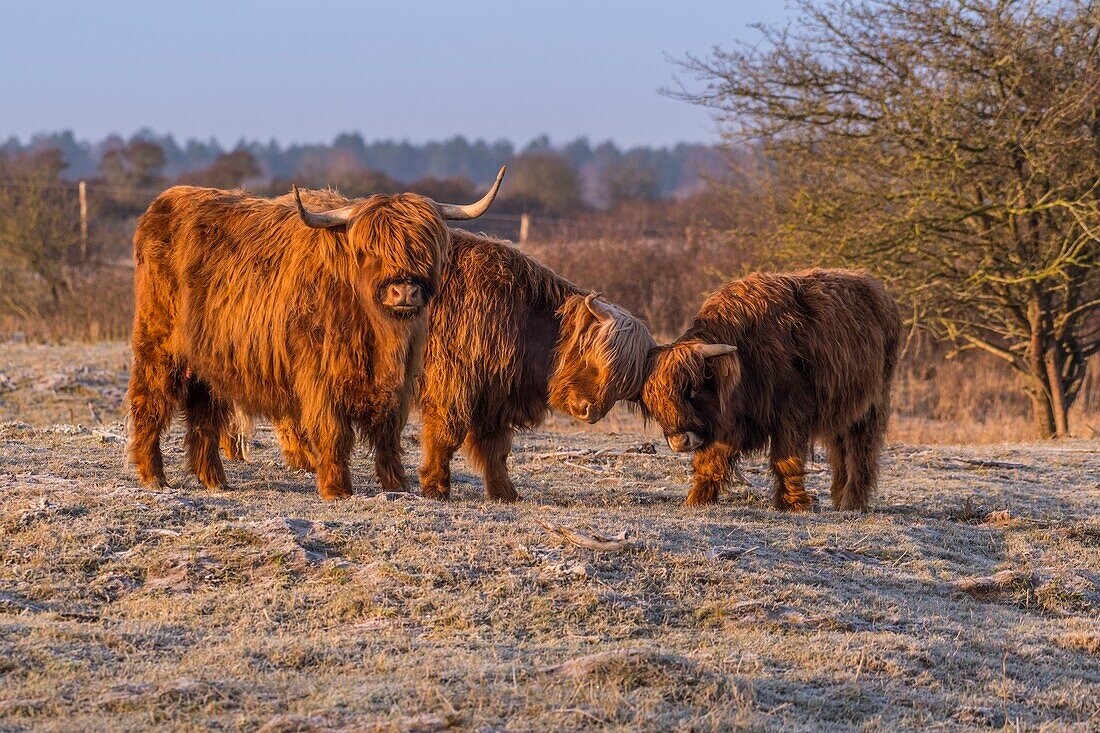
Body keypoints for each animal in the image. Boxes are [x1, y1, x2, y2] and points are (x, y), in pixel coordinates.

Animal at [254, 197, 651, 499]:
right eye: (595, 360)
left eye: (622, 384)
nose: (589, 411)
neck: (524, 318)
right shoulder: (453, 382)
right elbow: (448, 435)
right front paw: (435, 486)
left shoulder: (495, 396)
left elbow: (496, 449)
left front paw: (505, 492)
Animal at [638, 268, 902, 508]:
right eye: (653, 403)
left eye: (693, 388)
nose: (679, 441)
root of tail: (876, 289)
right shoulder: (726, 422)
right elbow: (711, 460)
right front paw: (698, 499)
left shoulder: (792, 410)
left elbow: (786, 460)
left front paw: (794, 504)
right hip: (839, 408)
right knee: (840, 453)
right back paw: (839, 500)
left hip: (871, 404)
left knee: (861, 450)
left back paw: (853, 503)